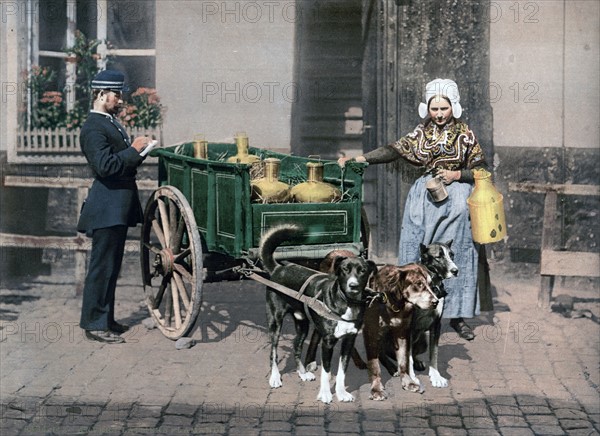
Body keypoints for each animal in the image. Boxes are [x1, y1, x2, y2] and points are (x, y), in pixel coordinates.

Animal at [260, 227, 378, 404]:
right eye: (345, 270)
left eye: (362, 271)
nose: (353, 286)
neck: (346, 302)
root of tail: (278, 269)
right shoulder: (327, 343)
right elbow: (326, 371)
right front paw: (325, 394)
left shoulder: (349, 341)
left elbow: (342, 371)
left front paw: (341, 393)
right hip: (275, 322)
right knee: (273, 352)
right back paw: (275, 378)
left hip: (302, 324)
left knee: (296, 346)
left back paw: (302, 373)